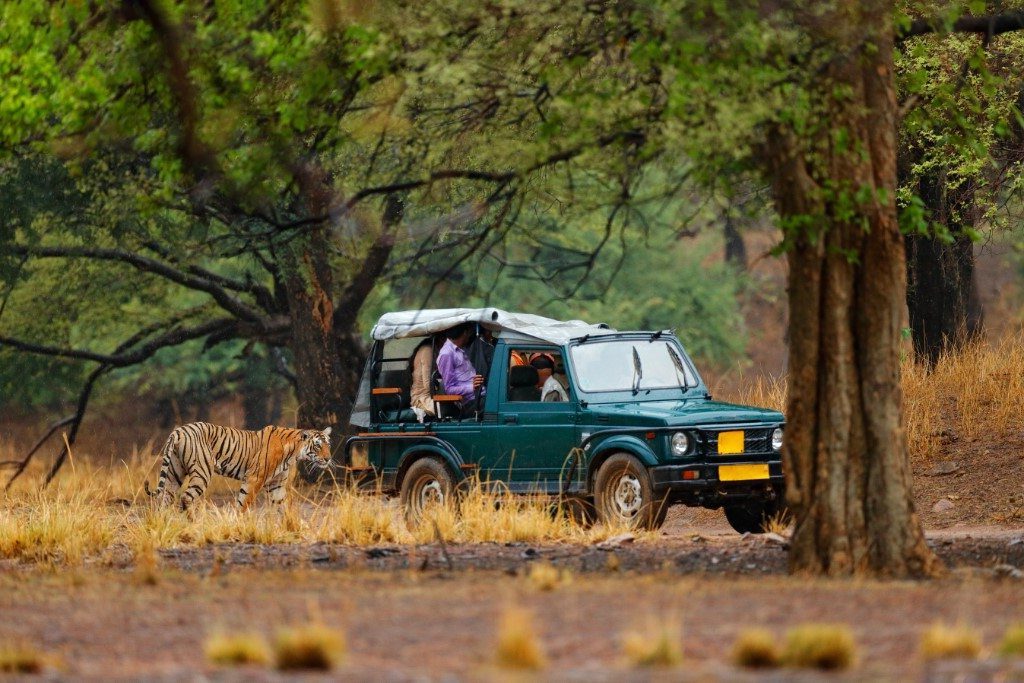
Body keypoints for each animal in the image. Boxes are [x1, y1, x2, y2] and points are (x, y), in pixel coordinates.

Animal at [145, 419, 331, 509]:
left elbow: (283, 507)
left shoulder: (276, 484)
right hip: (202, 471)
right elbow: (243, 503)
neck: (293, 453)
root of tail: (178, 430)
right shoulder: (255, 479)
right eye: (318, 445)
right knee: (186, 497)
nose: (328, 459)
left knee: (165, 498)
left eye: (328, 444)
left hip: (174, 472)